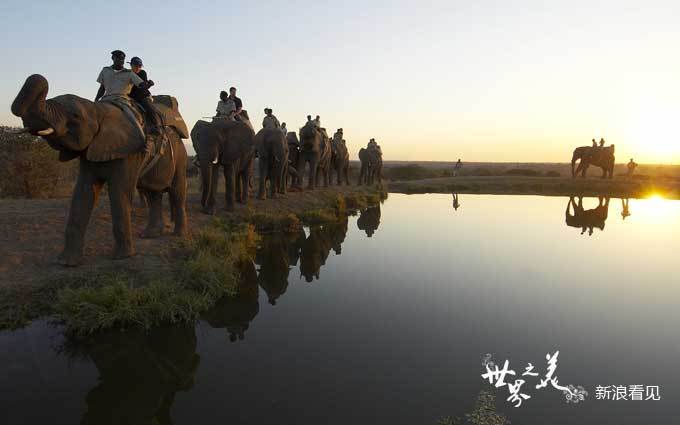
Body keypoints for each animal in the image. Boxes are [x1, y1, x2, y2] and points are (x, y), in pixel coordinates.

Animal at [10, 73, 190, 264]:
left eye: (75, 116)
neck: (99, 111)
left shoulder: (129, 150)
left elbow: (119, 193)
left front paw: (122, 257)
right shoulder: (91, 148)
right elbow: (83, 192)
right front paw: (66, 262)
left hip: (180, 156)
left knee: (177, 192)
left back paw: (179, 235)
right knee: (153, 193)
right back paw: (150, 235)